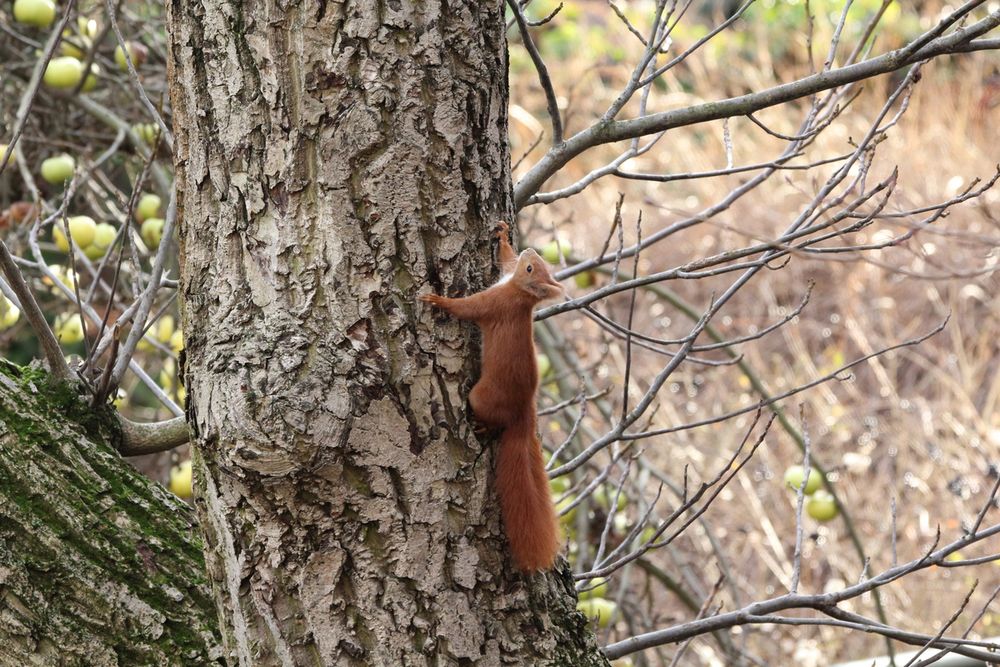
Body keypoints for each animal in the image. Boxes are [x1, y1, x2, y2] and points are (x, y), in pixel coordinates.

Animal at [420, 222, 568, 572]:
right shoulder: (504, 277)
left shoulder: (494, 303)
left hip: (482, 396)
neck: (521, 296)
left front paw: (438, 300)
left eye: (531, 269)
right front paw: (502, 235)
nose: (530, 250)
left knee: (492, 419)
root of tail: (524, 413)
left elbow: (467, 308)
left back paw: (483, 426)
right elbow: (504, 259)